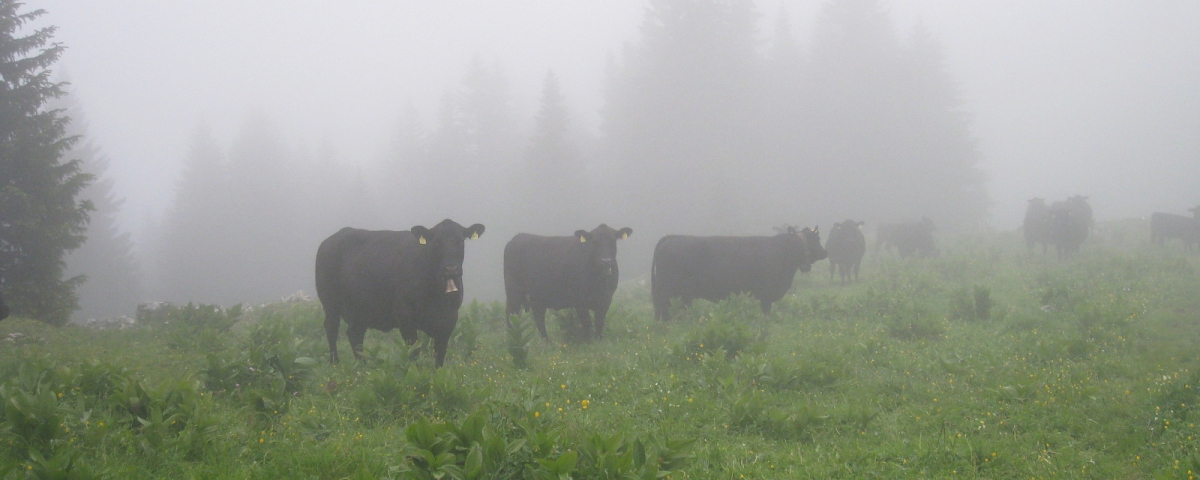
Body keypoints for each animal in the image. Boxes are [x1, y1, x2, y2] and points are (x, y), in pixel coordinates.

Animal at [321, 219, 489, 364]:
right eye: (437, 242)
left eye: (460, 241)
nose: (451, 269)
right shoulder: (406, 319)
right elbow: (413, 351)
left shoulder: (449, 319)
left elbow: (440, 354)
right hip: (330, 304)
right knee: (332, 330)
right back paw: (334, 362)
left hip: (360, 311)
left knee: (355, 335)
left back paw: (362, 366)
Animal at [501, 225, 633, 340]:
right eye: (594, 242)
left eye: (613, 241)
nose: (605, 261)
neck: (598, 280)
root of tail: (517, 237)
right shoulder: (579, 302)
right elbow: (587, 324)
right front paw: (589, 342)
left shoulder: (606, 300)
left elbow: (599, 324)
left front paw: (599, 341)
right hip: (513, 293)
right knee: (510, 315)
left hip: (537, 298)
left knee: (539, 319)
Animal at [652, 225, 830, 321]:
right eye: (818, 240)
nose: (825, 252)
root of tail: (670, 238)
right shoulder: (766, 295)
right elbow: (766, 314)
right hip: (669, 294)